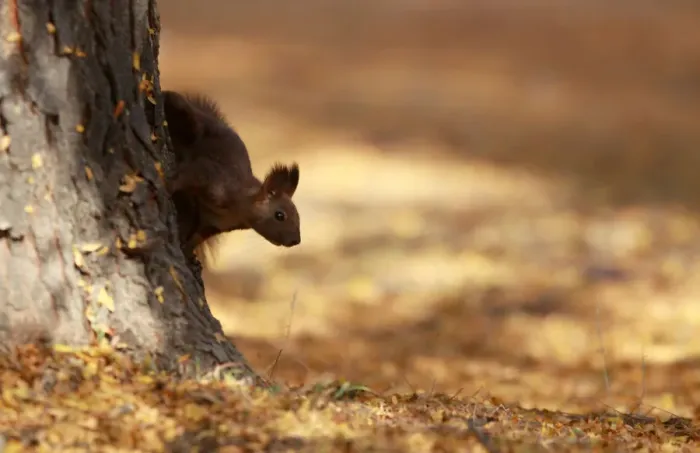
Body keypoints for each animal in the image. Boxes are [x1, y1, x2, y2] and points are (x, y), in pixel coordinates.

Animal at [162, 90, 301, 257]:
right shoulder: (210, 173)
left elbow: (199, 236)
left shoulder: (214, 224)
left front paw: (188, 251)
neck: (236, 212)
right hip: (191, 123)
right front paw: (168, 186)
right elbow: (187, 176)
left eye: (298, 216)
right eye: (280, 215)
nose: (296, 241)